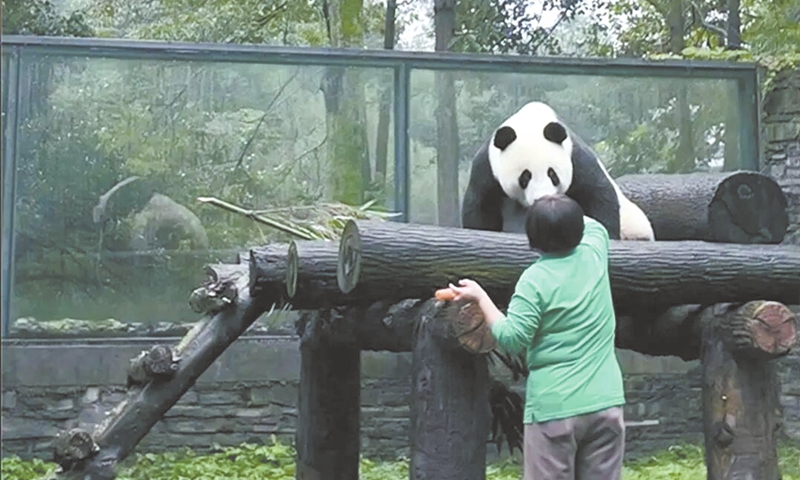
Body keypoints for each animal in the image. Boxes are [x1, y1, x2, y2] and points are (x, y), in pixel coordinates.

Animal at [461, 101, 654, 241]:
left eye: (552, 174)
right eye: (525, 177)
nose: (543, 198)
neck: (531, 121)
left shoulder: (576, 160)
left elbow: (597, 194)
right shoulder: (486, 168)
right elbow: (481, 205)